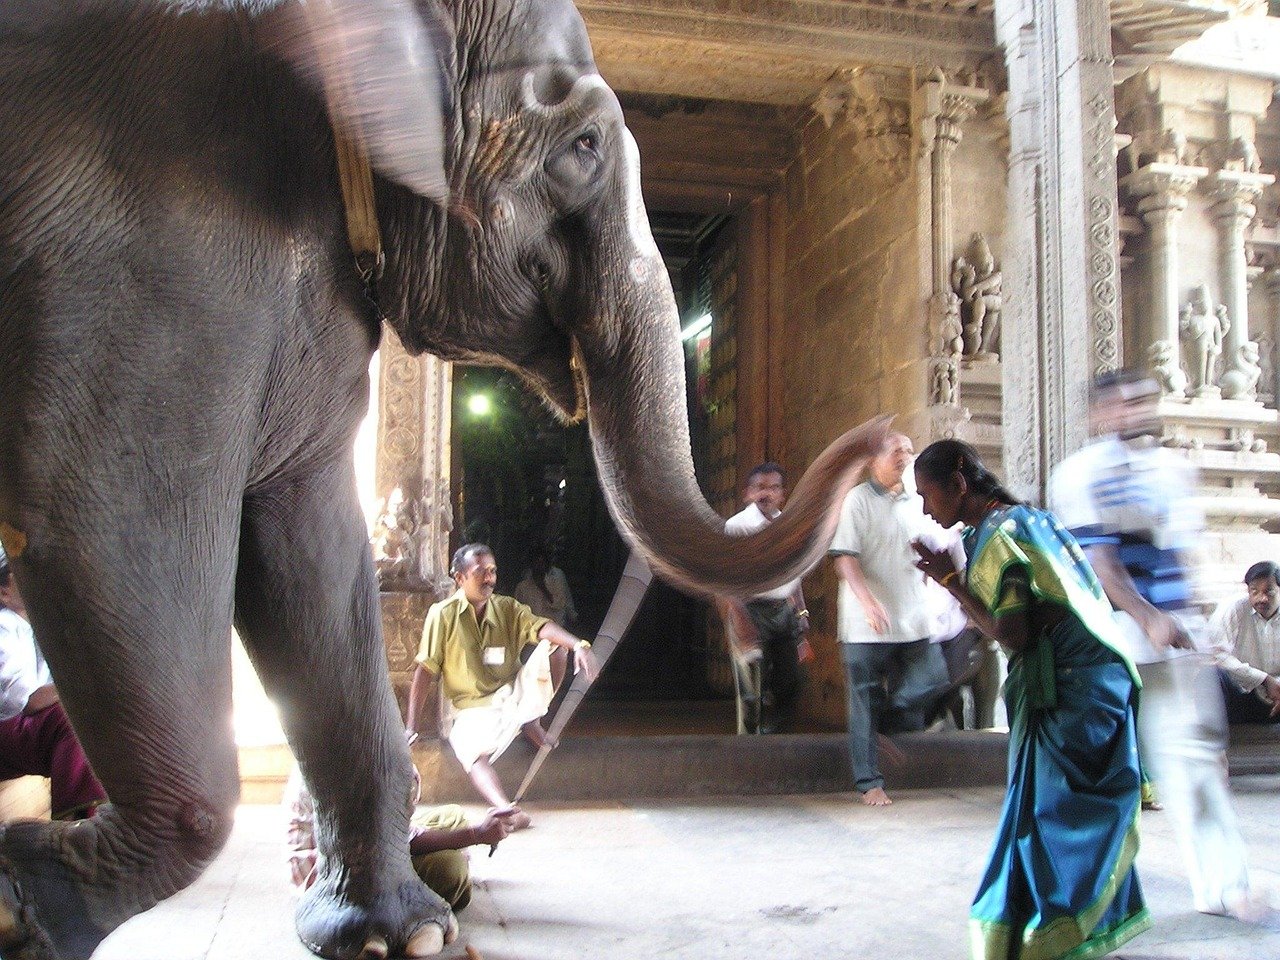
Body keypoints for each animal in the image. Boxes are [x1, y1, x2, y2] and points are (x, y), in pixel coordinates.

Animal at [0, 1, 886, 957]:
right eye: (583, 147)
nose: (882, 435)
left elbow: (309, 546)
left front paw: (397, 933)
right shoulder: (145, 259)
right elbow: (111, 520)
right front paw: (26, 903)